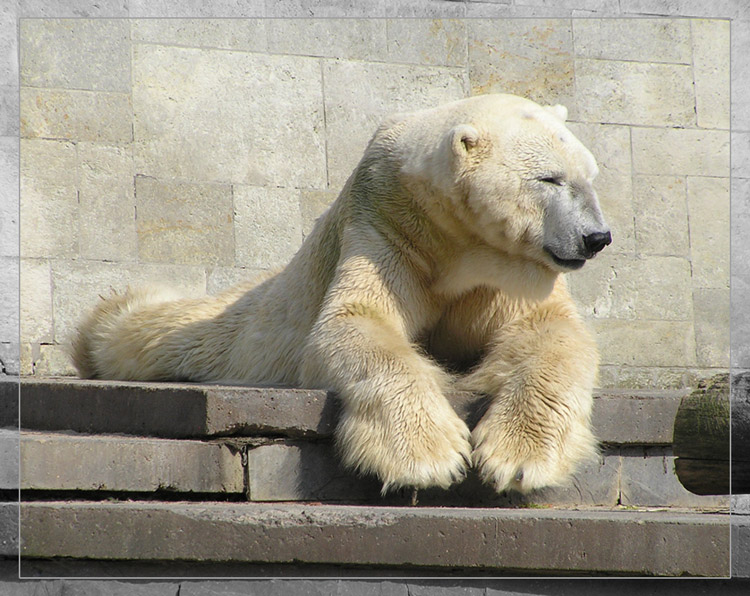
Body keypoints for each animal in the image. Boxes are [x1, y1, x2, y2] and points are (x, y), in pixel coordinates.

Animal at [70, 94, 612, 494]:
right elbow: (356, 321)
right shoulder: (389, 227)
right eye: (550, 178)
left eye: (590, 177)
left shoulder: (507, 273)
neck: (458, 245)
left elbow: (550, 332)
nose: (597, 236)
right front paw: (430, 456)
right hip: (245, 320)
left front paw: (517, 459)